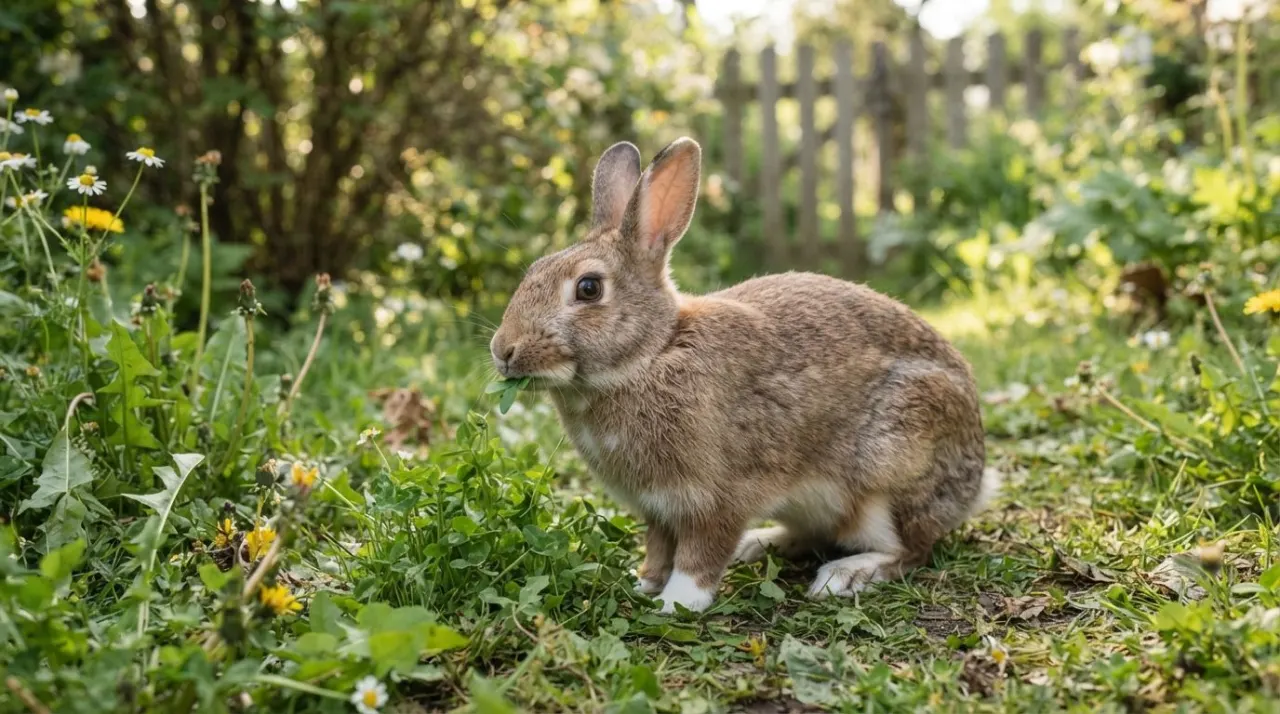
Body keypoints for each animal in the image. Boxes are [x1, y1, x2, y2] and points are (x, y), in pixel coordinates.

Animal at [490, 137, 996, 613]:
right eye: (533, 270)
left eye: (589, 288)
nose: (503, 350)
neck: (653, 354)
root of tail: (973, 484)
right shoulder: (658, 509)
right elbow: (659, 549)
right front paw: (644, 584)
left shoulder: (717, 497)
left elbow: (700, 555)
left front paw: (677, 602)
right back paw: (761, 544)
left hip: (889, 471)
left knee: (910, 549)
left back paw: (845, 576)